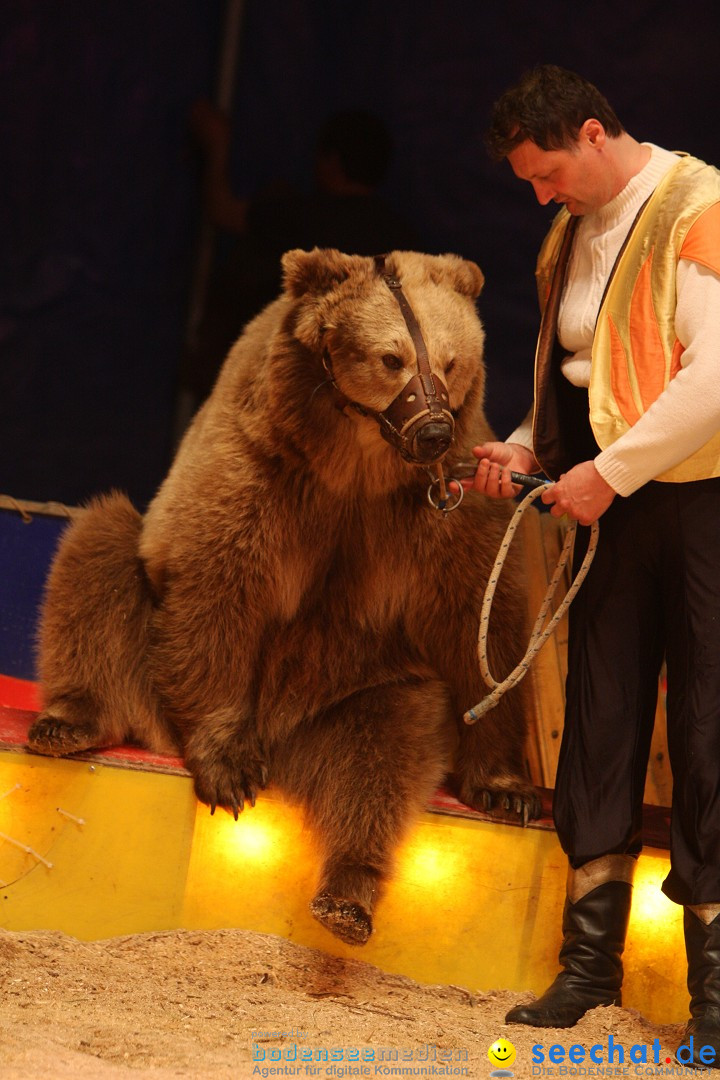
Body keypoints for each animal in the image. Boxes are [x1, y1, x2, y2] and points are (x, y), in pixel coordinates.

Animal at [26, 247, 535, 946]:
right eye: (392, 358)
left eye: (451, 360)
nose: (432, 430)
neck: (355, 461)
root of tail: (284, 746)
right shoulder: (263, 469)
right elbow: (219, 582)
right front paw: (227, 768)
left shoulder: (438, 508)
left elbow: (479, 618)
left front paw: (506, 786)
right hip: (150, 676)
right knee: (100, 544)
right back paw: (68, 721)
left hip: (360, 687)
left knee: (384, 754)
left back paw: (346, 897)